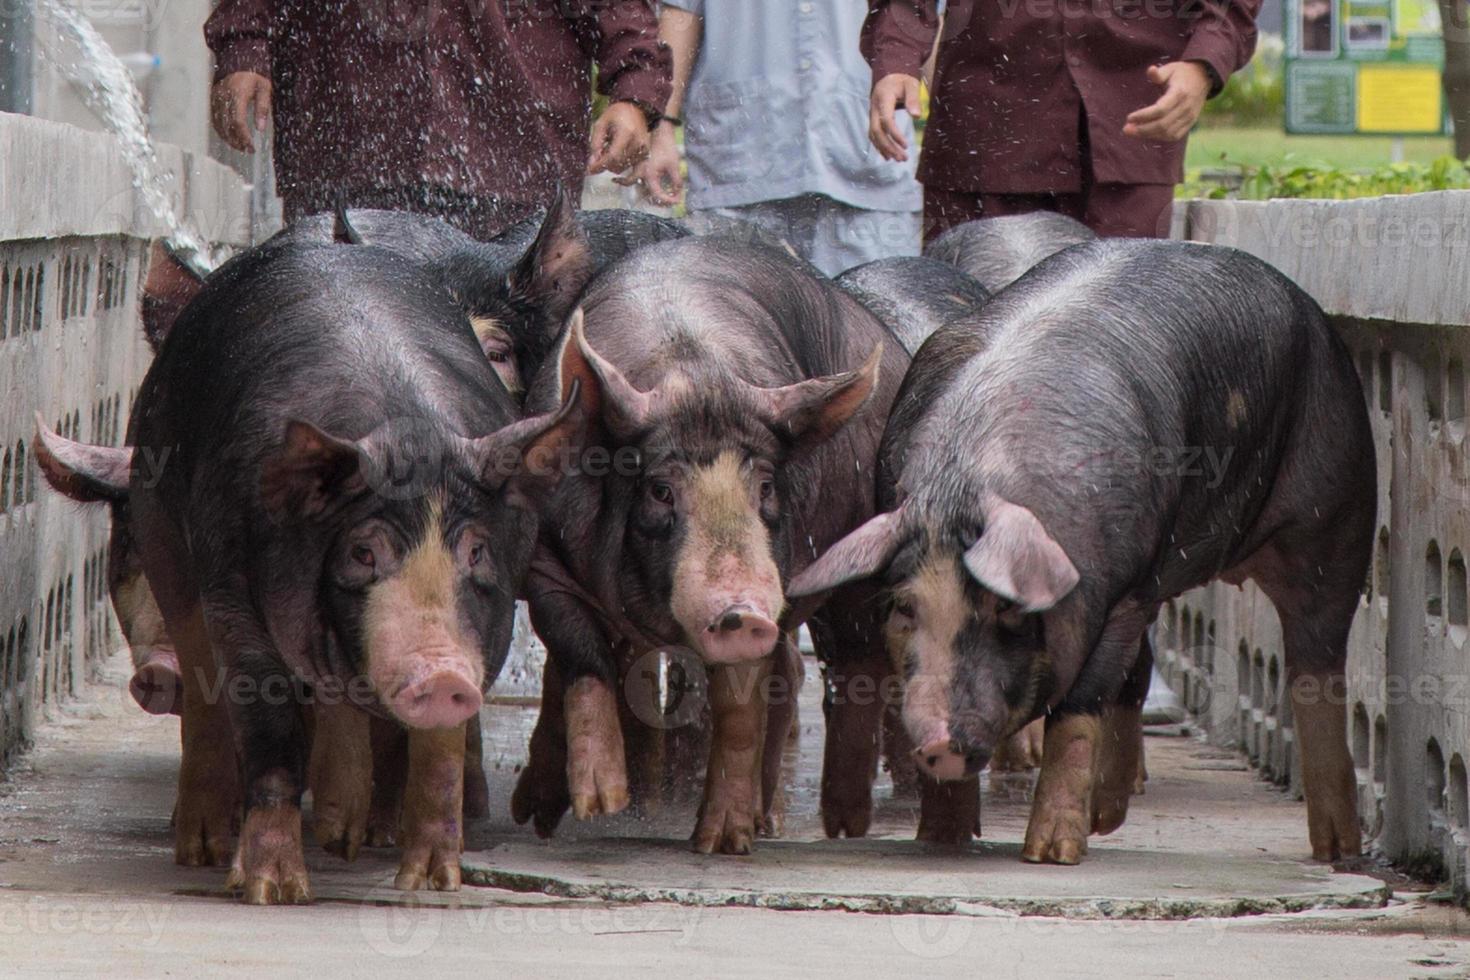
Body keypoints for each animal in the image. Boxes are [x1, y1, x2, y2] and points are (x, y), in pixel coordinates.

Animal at [38, 239, 585, 905]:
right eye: (363, 552)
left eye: (477, 552)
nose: (440, 673)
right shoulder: (232, 592)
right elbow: (268, 727)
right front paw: (270, 890)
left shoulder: (489, 628)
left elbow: (440, 747)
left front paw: (431, 884)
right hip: (170, 534)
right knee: (205, 688)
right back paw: (203, 849)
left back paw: (346, 837)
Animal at [511, 235, 911, 852]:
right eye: (660, 489)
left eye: (765, 486)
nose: (742, 613)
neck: (689, 371)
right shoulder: (543, 561)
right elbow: (580, 655)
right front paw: (601, 803)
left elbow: (739, 707)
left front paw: (723, 844)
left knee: (850, 665)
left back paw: (837, 829)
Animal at [799, 239, 1370, 863]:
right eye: (905, 607)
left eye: (1006, 608)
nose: (941, 742)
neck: (967, 484)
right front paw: (940, 840)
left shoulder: (1121, 593)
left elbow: (1079, 706)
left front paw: (1050, 854)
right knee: (1141, 672)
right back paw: (1107, 818)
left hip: (1337, 504)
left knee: (1317, 664)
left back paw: (1337, 850)